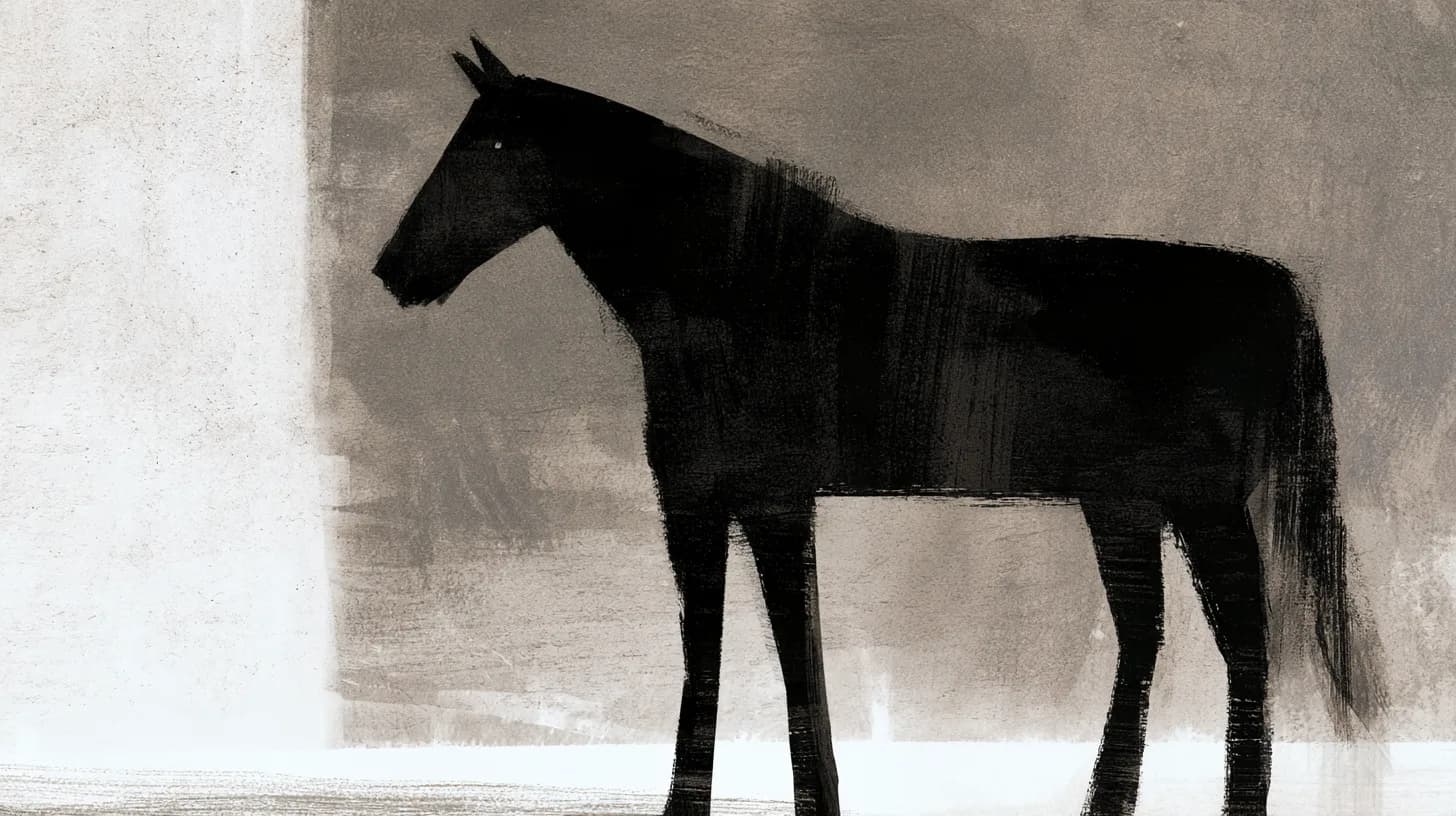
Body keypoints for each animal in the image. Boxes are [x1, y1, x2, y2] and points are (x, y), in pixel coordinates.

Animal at [370, 37, 1382, 816]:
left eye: (494, 142)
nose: (392, 270)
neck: (737, 283)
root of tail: (1278, 288)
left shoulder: (739, 500)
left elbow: (748, 652)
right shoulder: (738, 502)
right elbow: (758, 651)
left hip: (1202, 505)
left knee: (1245, 647)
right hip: (1125, 505)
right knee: (1151, 640)